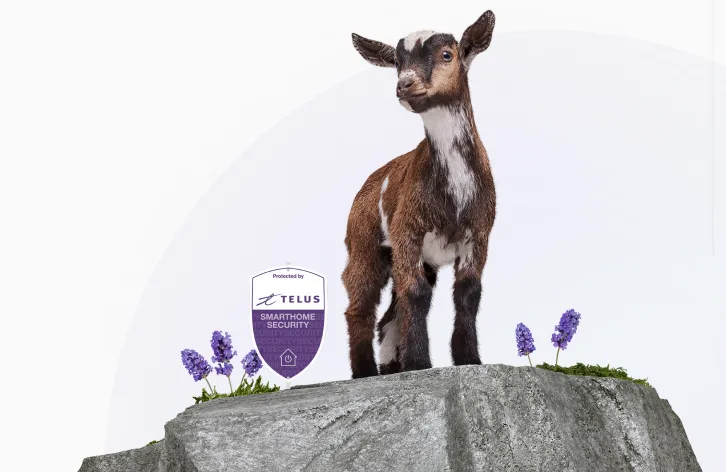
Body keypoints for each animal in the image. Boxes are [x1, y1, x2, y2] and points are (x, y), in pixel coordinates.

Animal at [342, 10, 497, 379]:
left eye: (447, 55)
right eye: (397, 63)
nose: (405, 84)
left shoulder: (479, 235)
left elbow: (468, 292)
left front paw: (469, 358)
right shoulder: (407, 232)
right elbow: (416, 294)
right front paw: (418, 363)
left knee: (389, 312)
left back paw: (389, 367)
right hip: (364, 244)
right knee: (361, 305)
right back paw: (365, 371)